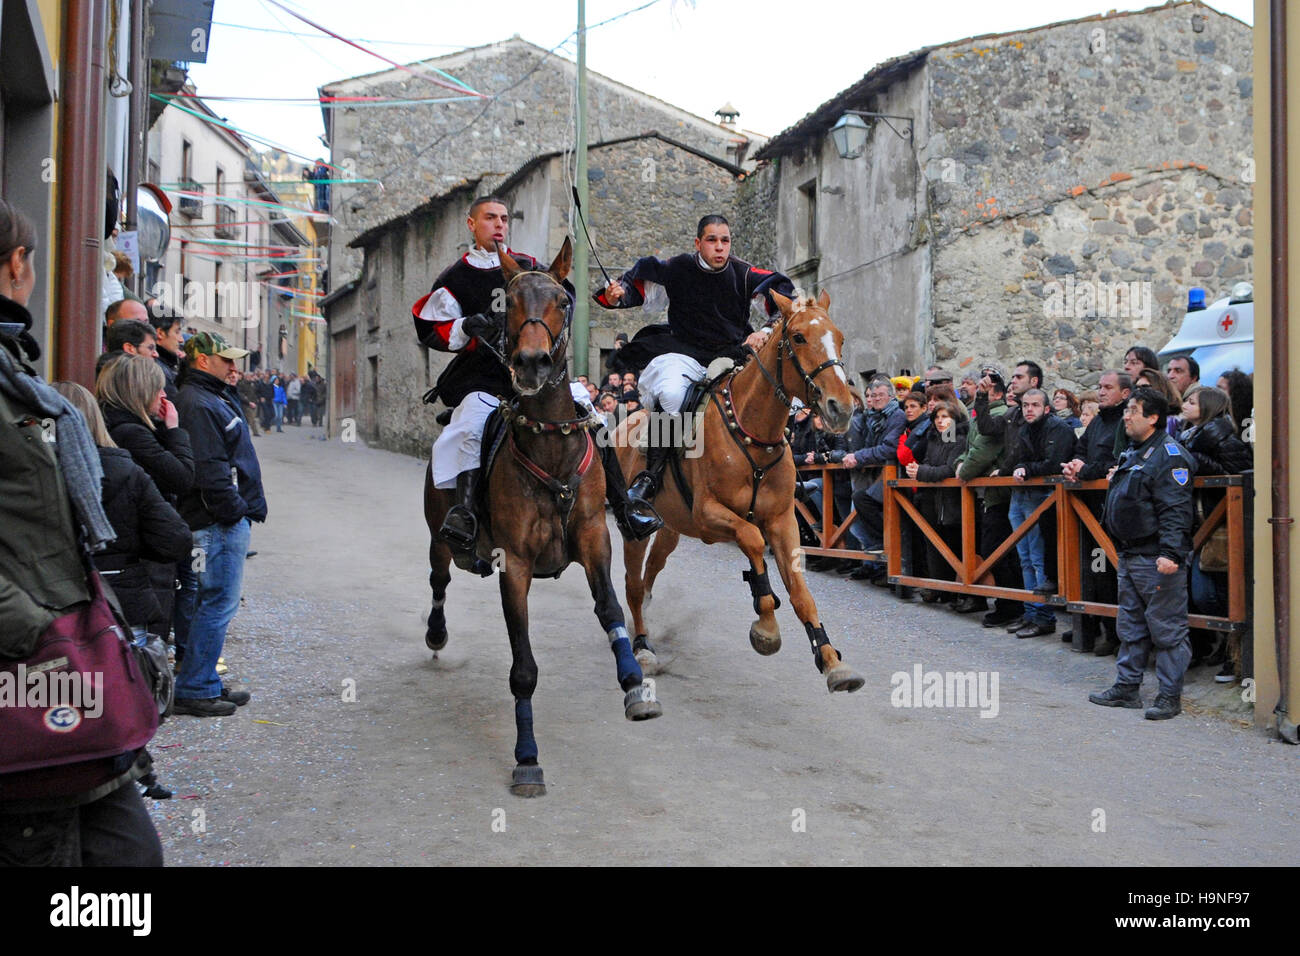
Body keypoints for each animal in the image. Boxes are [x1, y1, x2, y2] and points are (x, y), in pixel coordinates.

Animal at [421, 235, 660, 796]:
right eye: (507, 303)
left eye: (561, 301)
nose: (531, 363)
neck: (550, 451)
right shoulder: (516, 566)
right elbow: (523, 668)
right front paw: (526, 757)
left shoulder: (595, 541)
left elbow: (611, 611)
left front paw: (634, 684)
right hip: (439, 537)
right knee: (438, 578)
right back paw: (436, 633)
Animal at [613, 291, 868, 697]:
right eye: (798, 337)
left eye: (839, 338)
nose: (840, 408)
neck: (752, 435)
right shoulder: (710, 516)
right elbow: (752, 540)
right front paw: (766, 627)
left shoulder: (782, 522)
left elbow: (800, 593)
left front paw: (831, 660)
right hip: (636, 529)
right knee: (634, 586)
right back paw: (642, 647)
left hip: (671, 528)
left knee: (652, 571)